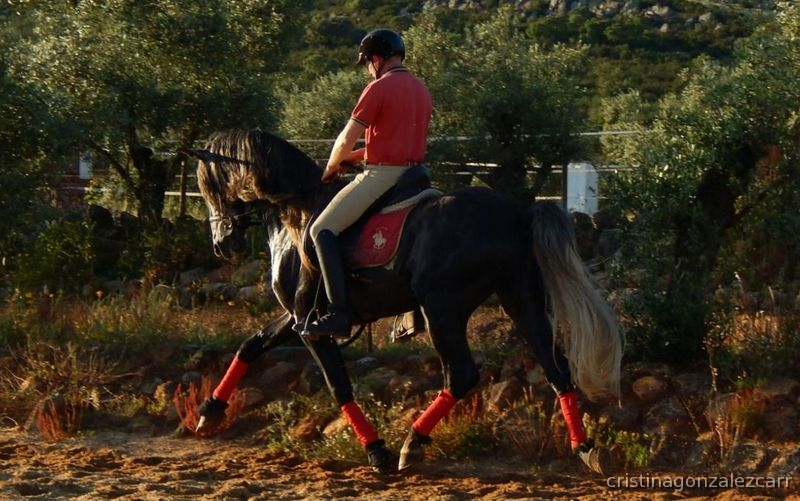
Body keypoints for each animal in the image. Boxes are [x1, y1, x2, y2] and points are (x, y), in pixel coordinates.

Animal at [184, 129, 623, 474]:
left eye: (209, 187)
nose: (224, 245)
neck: (297, 210)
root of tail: (518, 211)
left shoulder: (312, 326)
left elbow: (339, 386)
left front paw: (376, 450)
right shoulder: (295, 318)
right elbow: (251, 344)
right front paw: (209, 412)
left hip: (442, 309)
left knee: (461, 375)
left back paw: (412, 444)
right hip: (521, 300)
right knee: (556, 367)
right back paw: (585, 449)